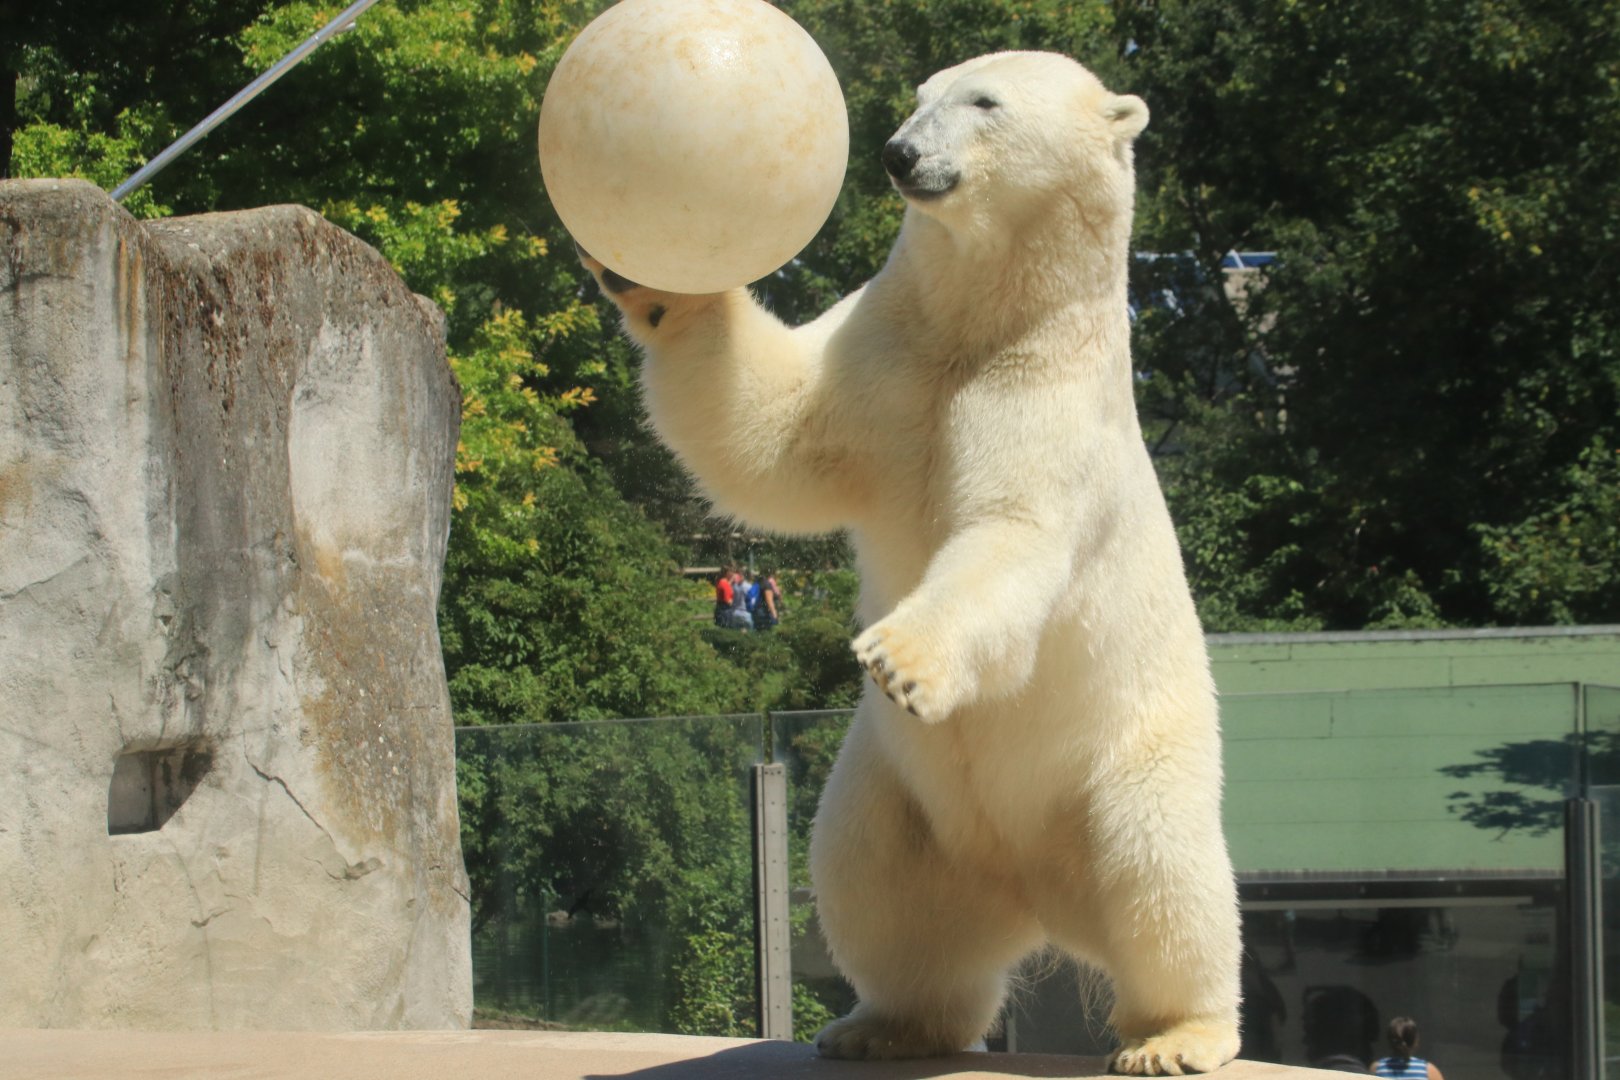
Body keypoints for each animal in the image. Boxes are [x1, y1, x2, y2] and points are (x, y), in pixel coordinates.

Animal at [576, 50, 1242, 1076]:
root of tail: (1037, 892)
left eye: (985, 100)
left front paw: (899, 660)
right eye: (920, 93)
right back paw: (886, 1023)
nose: (897, 153)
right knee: (872, 885)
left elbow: (1011, 532)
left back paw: (1174, 1035)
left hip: (1134, 750)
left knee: (1163, 868)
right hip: (896, 794)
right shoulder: (887, 356)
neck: (984, 321)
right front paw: (652, 274)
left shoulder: (1048, 395)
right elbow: (776, 439)